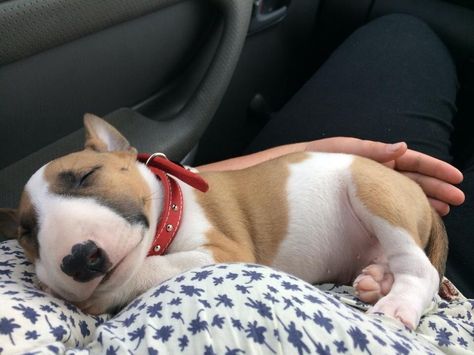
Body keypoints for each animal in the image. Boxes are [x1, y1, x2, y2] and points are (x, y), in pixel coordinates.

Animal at [0, 115, 446, 330]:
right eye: (26, 234)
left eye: (87, 176)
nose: (77, 260)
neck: (171, 206)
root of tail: (418, 196)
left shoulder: (226, 250)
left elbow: (150, 267)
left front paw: (100, 293)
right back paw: (375, 281)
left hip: (371, 190)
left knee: (420, 269)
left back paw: (398, 304)